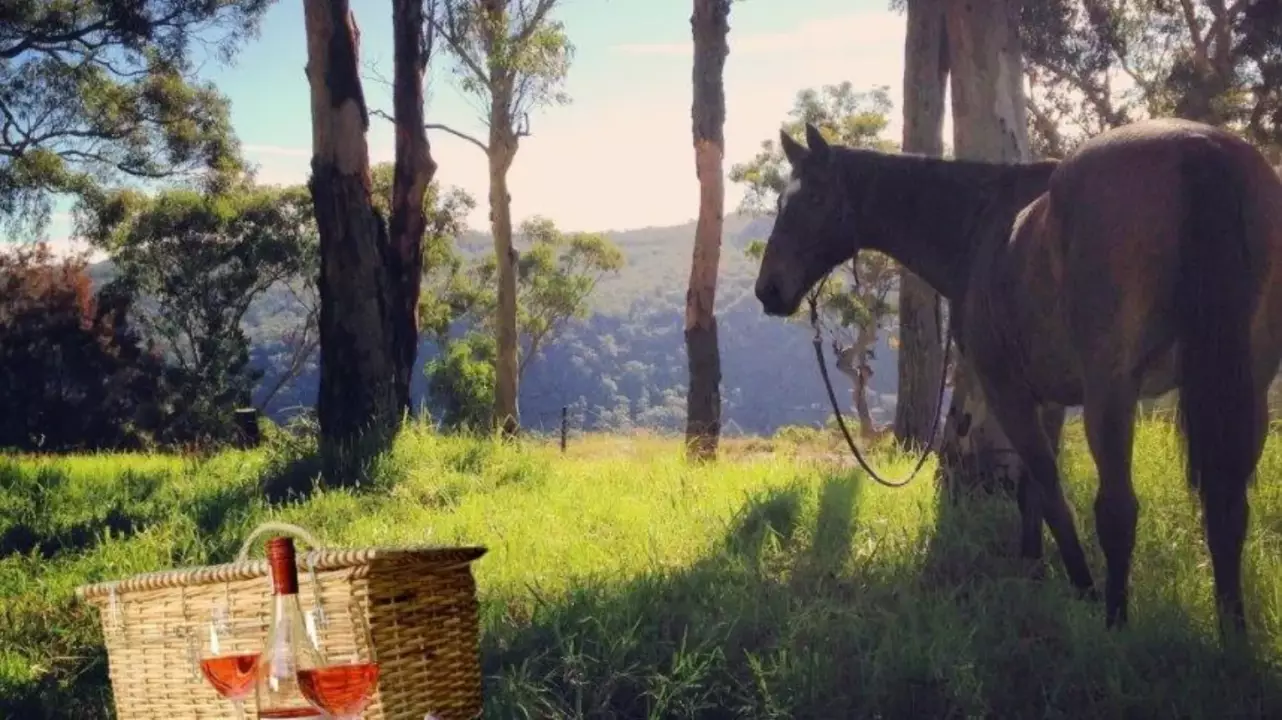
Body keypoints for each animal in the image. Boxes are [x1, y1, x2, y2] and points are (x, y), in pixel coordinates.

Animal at [753, 119, 1282, 638]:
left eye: (814, 198)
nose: (768, 290)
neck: (979, 226)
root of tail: (1199, 145)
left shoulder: (1008, 391)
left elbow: (1049, 490)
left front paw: (1080, 586)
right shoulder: (1048, 399)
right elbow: (1033, 490)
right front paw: (1034, 571)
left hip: (1112, 397)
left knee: (1119, 510)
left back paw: (1115, 625)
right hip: (1246, 391)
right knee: (1228, 509)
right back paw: (1233, 635)